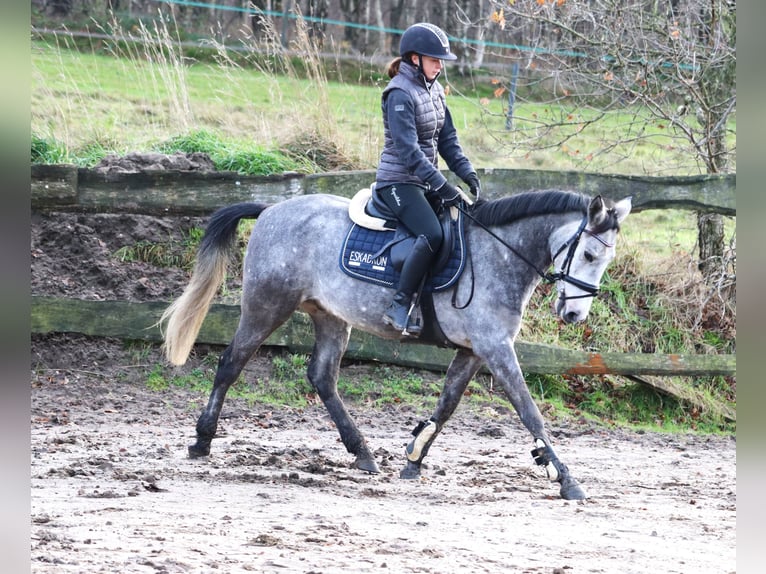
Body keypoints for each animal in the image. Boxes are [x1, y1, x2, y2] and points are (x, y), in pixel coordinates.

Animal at [160, 190, 632, 500]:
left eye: (605, 260)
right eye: (589, 254)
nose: (575, 316)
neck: (499, 254)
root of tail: (271, 208)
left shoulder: (474, 351)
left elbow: (447, 404)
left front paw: (414, 457)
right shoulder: (495, 348)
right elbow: (529, 410)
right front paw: (565, 478)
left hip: (330, 316)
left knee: (322, 377)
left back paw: (363, 453)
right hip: (266, 305)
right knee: (231, 363)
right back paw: (202, 441)